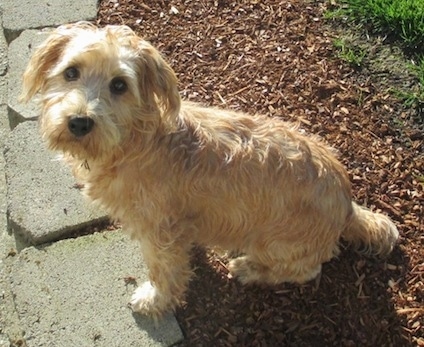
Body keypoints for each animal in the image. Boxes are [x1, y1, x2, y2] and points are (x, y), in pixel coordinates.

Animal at [19, 22, 400, 318]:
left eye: (119, 85)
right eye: (71, 72)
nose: (79, 122)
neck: (136, 142)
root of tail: (348, 206)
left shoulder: (159, 231)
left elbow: (164, 271)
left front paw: (154, 301)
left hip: (275, 242)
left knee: (305, 269)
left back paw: (249, 268)